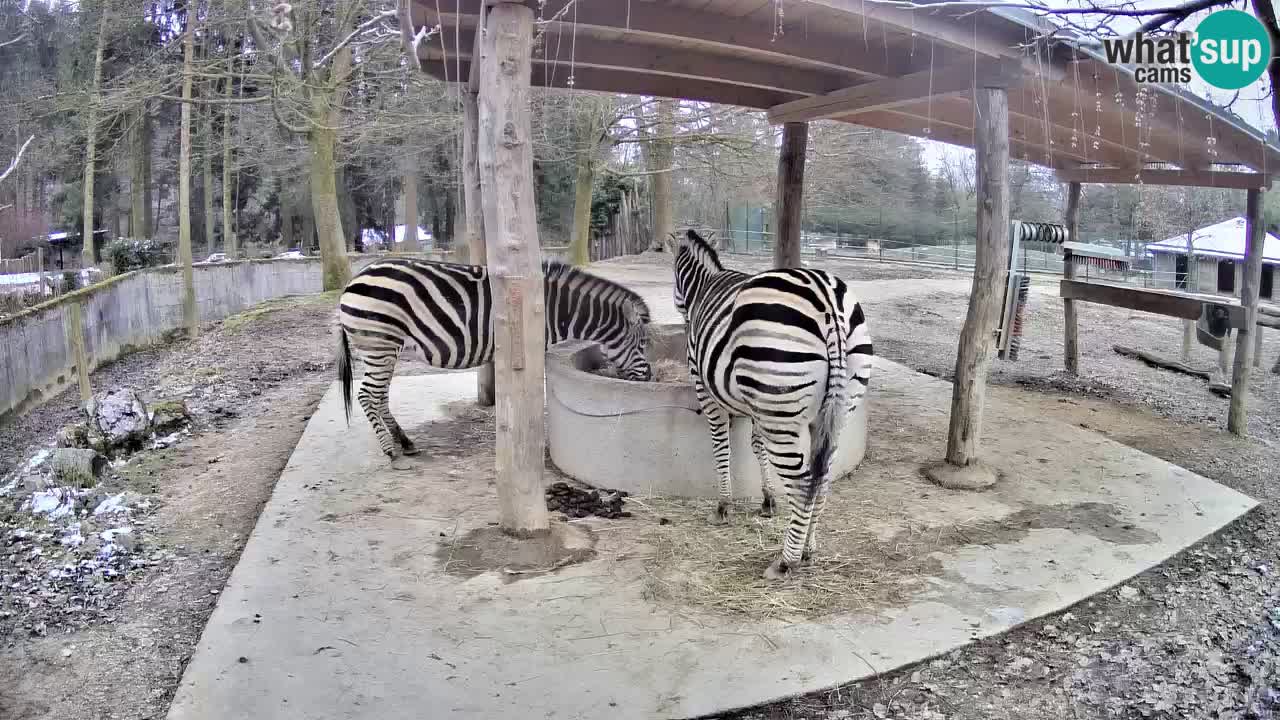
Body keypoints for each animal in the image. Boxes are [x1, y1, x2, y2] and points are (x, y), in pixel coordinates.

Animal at [335, 256, 650, 453]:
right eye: (645, 343)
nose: (649, 378)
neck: (555, 310)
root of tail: (354, 279)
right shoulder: (531, 345)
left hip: (384, 348)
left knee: (379, 395)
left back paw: (404, 442)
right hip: (380, 344)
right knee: (367, 395)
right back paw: (390, 450)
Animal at [670, 228, 870, 576]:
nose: (682, 319)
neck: (705, 285)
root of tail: (828, 302)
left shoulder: (705, 388)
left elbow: (721, 446)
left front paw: (723, 506)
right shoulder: (756, 405)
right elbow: (755, 445)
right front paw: (767, 500)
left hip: (781, 410)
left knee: (803, 483)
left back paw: (786, 561)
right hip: (833, 410)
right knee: (822, 478)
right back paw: (808, 549)